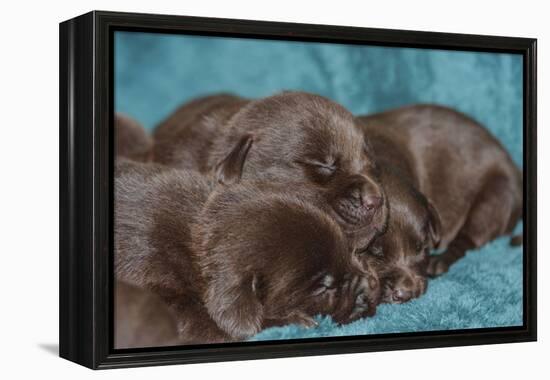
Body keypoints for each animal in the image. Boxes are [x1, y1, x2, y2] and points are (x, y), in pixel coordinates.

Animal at [358, 104, 520, 290]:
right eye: (376, 252)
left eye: (422, 247)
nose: (408, 291)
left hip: (494, 200)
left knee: (467, 240)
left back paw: (439, 262)